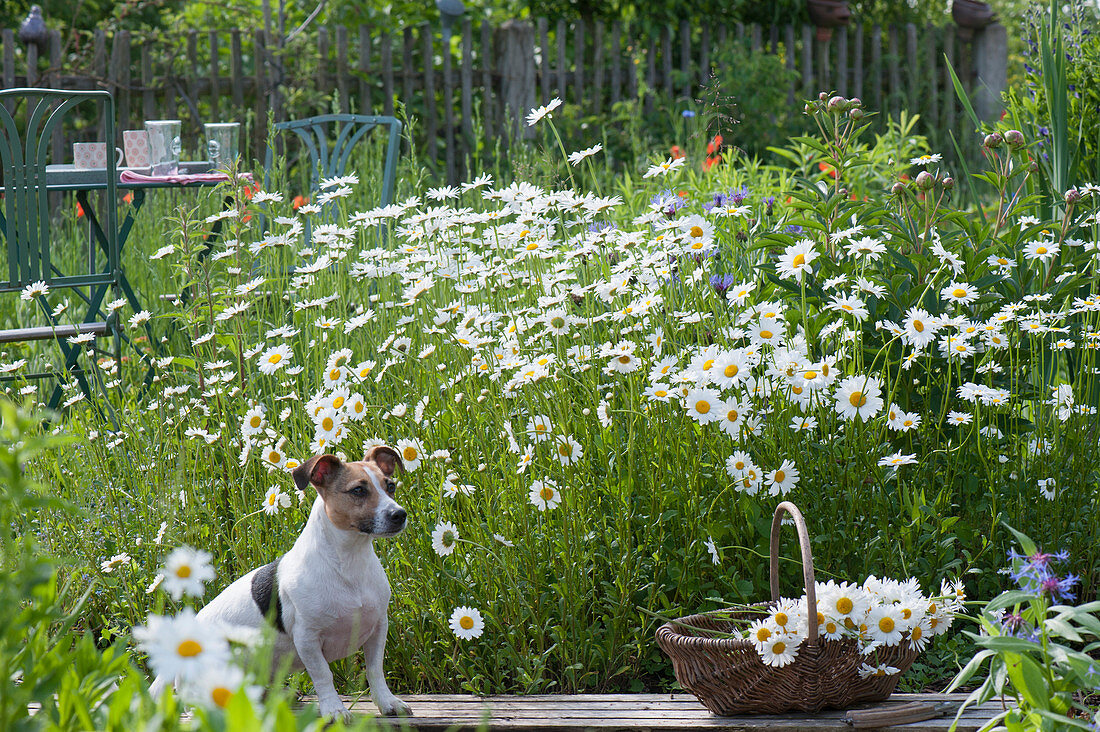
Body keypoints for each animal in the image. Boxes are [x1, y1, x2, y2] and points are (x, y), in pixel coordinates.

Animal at [151, 444, 413, 717]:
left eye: (390, 486)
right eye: (358, 490)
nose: (399, 514)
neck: (350, 561)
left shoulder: (377, 628)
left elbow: (375, 671)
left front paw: (387, 702)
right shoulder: (307, 638)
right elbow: (323, 675)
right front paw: (334, 710)